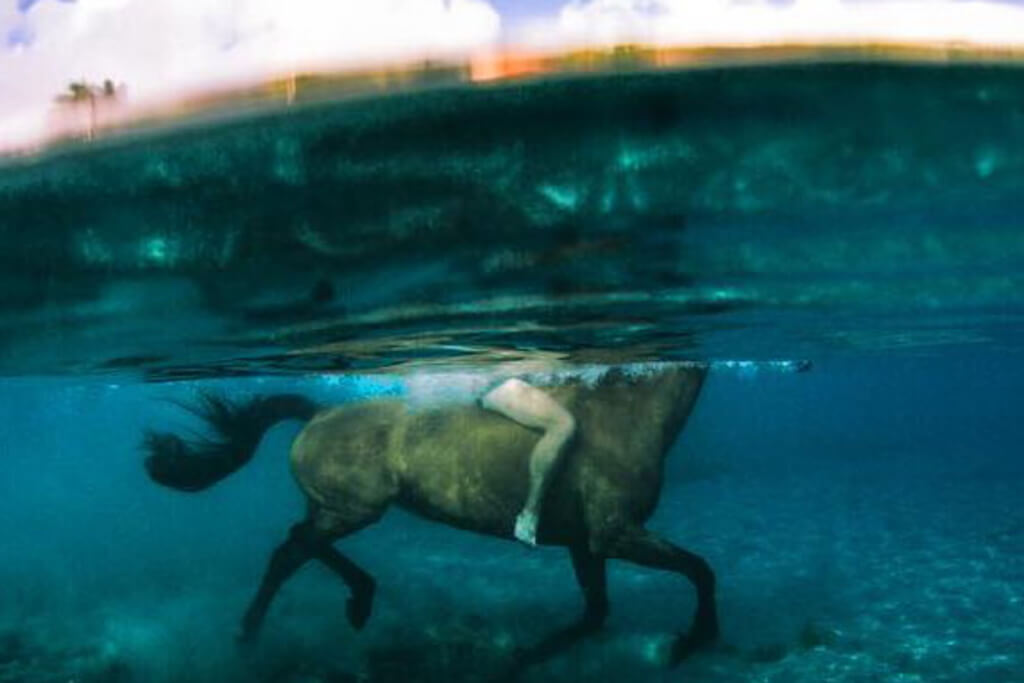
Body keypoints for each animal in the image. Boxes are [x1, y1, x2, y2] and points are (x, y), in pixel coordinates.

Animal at [143, 363, 718, 674]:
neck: (627, 413)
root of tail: (318, 413)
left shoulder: (586, 543)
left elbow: (596, 613)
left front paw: (518, 660)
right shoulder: (616, 534)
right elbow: (700, 570)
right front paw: (691, 641)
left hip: (335, 506)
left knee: (293, 547)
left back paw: (309, 617)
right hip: (355, 508)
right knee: (296, 545)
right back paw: (308, 616)